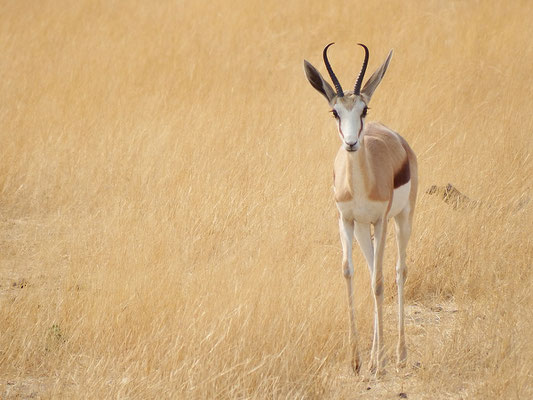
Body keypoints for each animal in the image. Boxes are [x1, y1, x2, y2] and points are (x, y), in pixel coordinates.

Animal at [304, 43, 416, 376]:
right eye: (335, 111)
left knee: (397, 271)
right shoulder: (346, 220)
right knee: (371, 270)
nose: (352, 143)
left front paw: (380, 363)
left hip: (402, 219)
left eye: (363, 109)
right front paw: (357, 360)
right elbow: (350, 273)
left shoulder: (380, 220)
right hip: (364, 231)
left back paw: (398, 354)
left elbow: (380, 282)